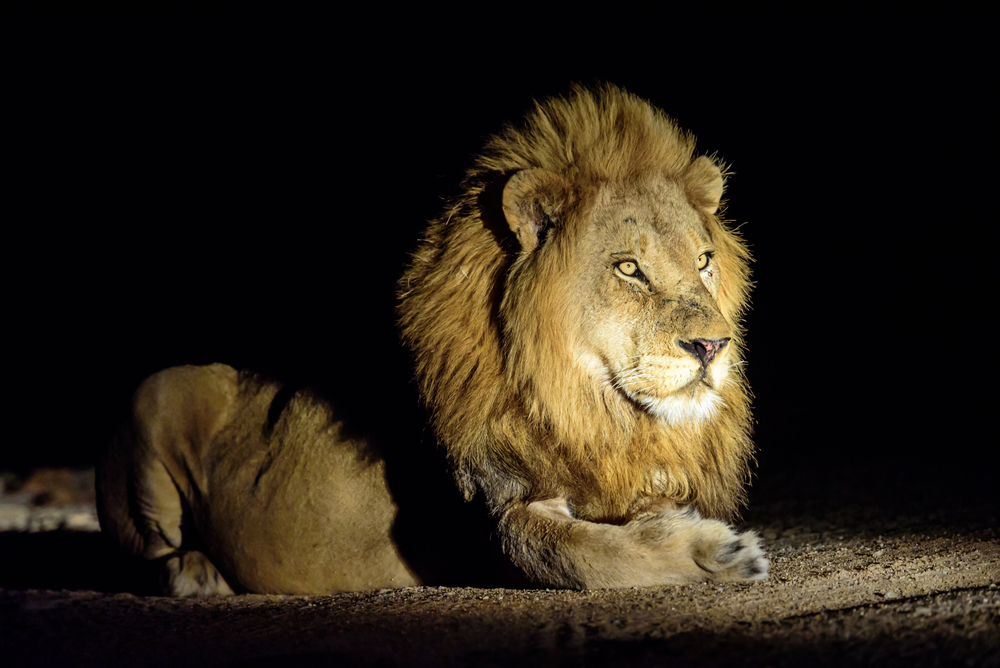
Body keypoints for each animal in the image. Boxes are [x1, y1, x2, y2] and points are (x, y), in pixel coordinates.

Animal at [97, 85, 767, 595]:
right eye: (628, 268)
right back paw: (199, 574)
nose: (714, 347)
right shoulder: (487, 518)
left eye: (704, 261)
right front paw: (721, 552)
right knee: (148, 554)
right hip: (160, 391)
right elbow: (584, 556)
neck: (588, 406)